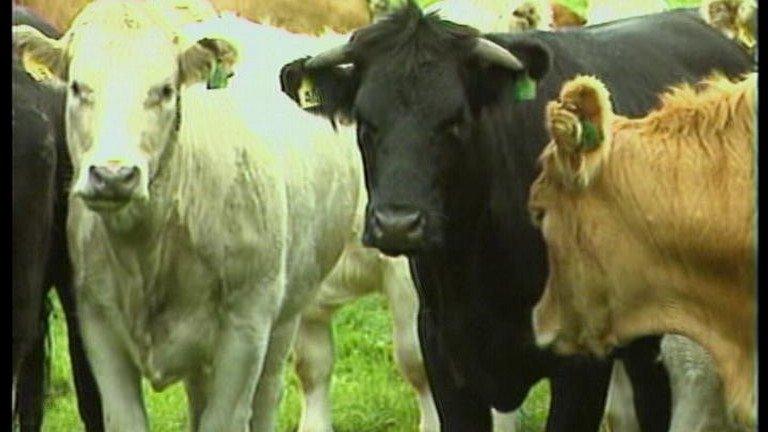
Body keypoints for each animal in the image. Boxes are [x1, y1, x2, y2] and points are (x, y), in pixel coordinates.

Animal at [12, 1, 378, 430]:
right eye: (77, 87)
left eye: (164, 90)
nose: (114, 176)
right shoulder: (98, 327)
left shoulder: (245, 332)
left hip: (285, 319)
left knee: (266, 397)